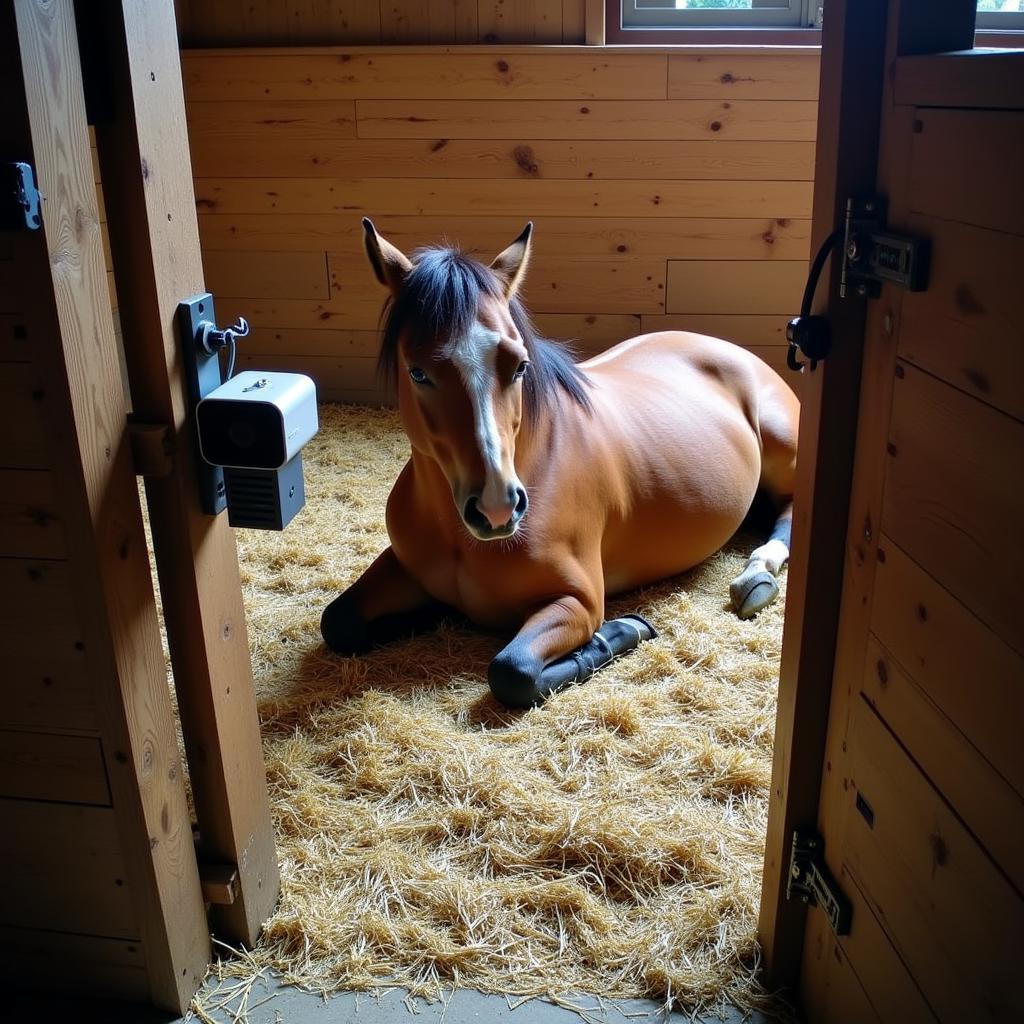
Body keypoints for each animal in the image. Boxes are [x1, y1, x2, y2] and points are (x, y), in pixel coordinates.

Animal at [323, 220, 802, 708]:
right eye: (417, 371)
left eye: (519, 365)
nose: (497, 508)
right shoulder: (400, 564)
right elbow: (337, 622)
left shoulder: (579, 602)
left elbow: (512, 670)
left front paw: (625, 629)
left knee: (790, 511)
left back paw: (758, 575)